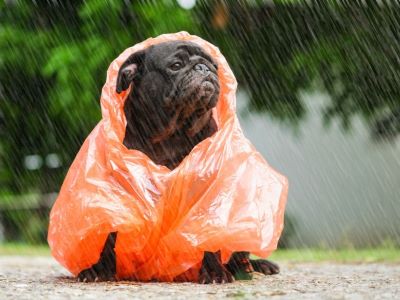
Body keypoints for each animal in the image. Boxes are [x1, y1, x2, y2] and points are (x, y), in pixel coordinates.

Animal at [77, 40, 278, 284]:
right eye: (176, 65)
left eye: (214, 65)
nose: (204, 67)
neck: (173, 133)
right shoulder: (119, 195)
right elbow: (109, 235)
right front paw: (98, 269)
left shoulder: (206, 198)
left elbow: (207, 239)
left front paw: (215, 272)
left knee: (239, 255)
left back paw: (251, 267)